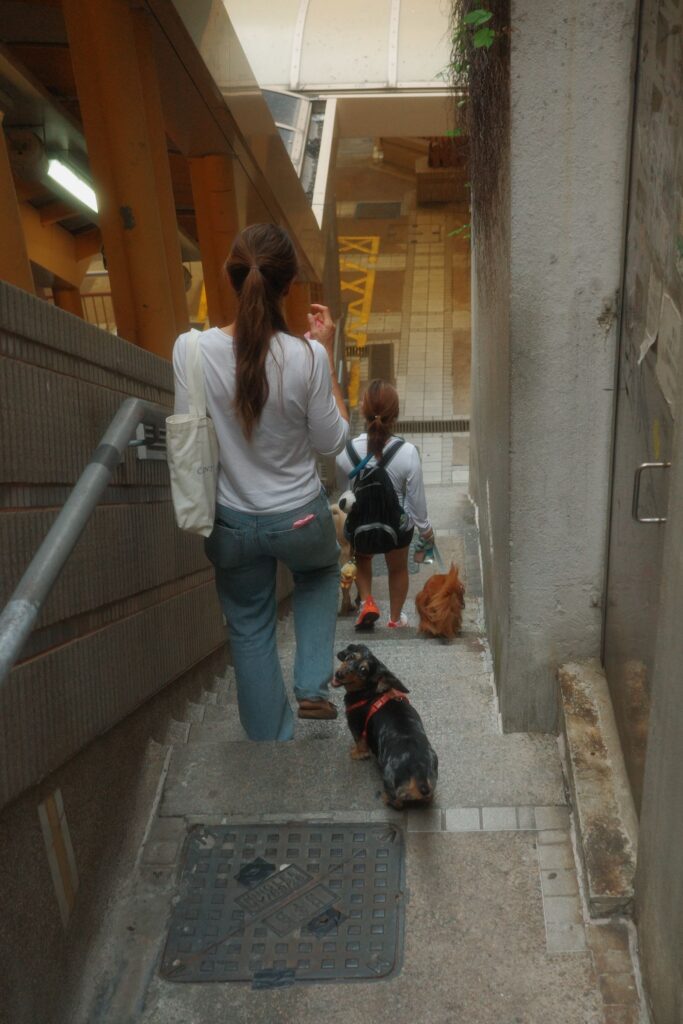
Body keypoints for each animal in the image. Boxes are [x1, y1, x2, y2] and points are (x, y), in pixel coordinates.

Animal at [333, 642, 438, 809]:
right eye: (350, 657)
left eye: (363, 670)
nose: (338, 674)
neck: (370, 692)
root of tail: (419, 776)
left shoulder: (355, 727)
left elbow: (360, 745)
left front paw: (356, 753)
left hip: (389, 780)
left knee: (397, 802)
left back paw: (385, 798)